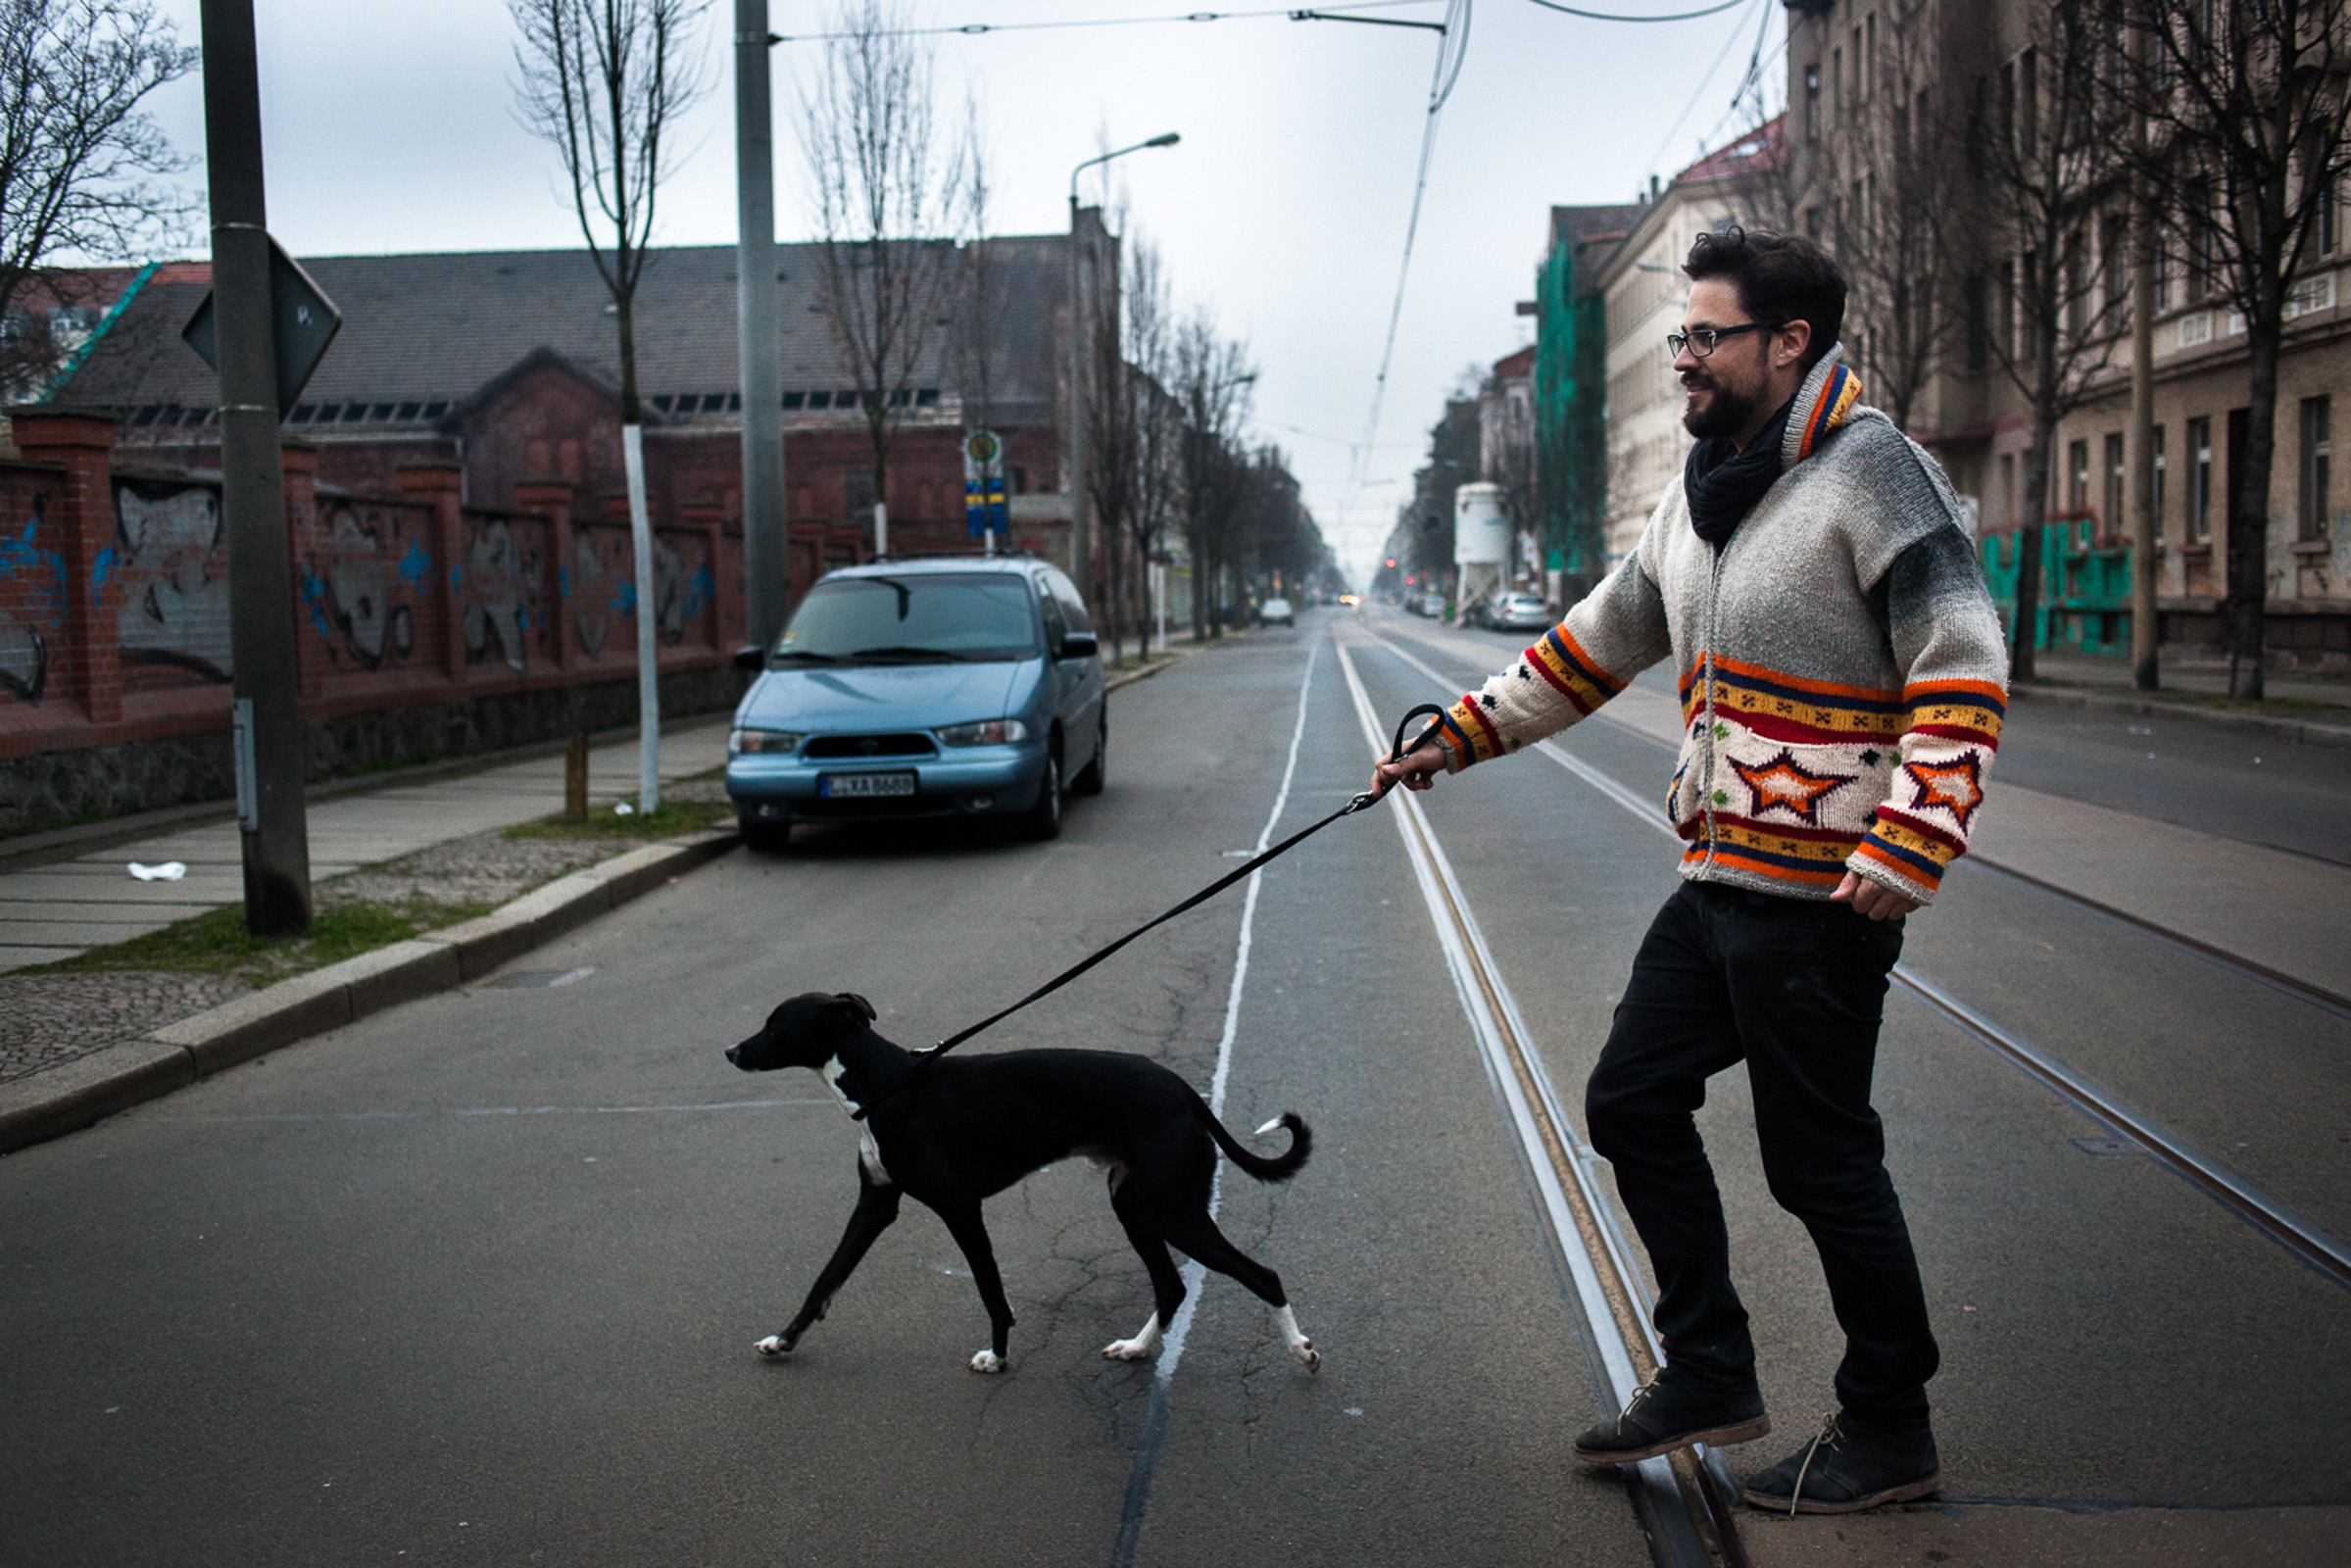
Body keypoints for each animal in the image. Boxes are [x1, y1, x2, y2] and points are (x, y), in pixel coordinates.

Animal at [728, 992, 1326, 1372]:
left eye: (775, 1027)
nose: (730, 1051)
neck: (889, 1085)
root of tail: (1183, 1091)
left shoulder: (959, 1206)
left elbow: (991, 1289)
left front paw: (997, 1356)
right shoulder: (875, 1205)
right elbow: (825, 1279)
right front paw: (782, 1341)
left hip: (1176, 1212)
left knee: (1263, 1276)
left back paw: (1300, 1351)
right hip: (1134, 1204)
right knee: (1171, 1285)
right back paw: (1135, 1348)